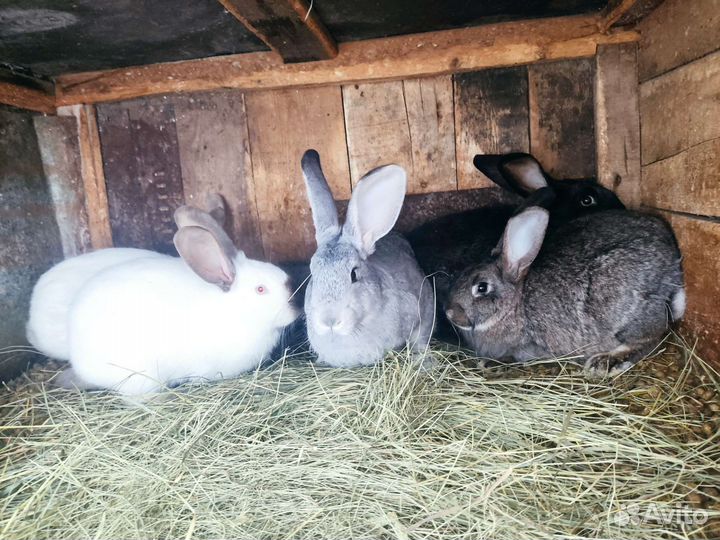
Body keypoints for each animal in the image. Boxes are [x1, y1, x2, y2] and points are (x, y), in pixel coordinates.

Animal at [444, 202, 686, 376]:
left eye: (482, 287)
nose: (449, 313)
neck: (514, 304)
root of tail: (672, 264)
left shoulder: (531, 346)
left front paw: (490, 364)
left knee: (652, 336)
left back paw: (605, 363)